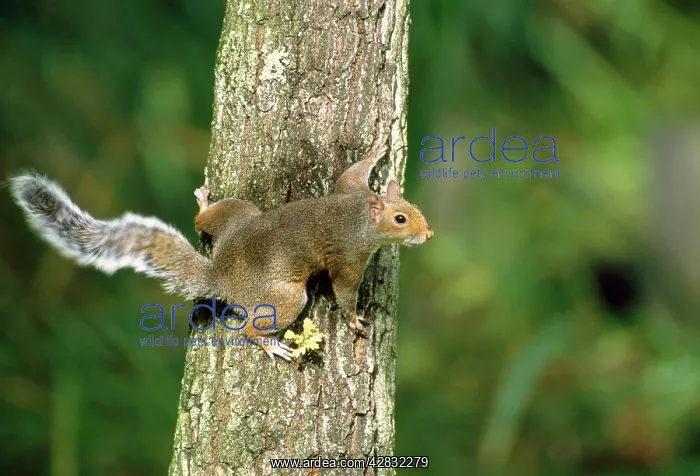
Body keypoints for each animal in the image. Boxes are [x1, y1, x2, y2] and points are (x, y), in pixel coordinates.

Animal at [9, 132, 433, 360]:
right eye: (401, 219)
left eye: (415, 208)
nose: (428, 234)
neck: (361, 215)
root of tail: (222, 274)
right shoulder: (347, 255)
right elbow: (344, 290)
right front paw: (355, 319)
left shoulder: (351, 190)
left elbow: (350, 172)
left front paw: (376, 151)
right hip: (283, 297)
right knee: (247, 328)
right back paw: (270, 346)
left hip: (240, 213)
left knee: (205, 221)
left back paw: (202, 204)